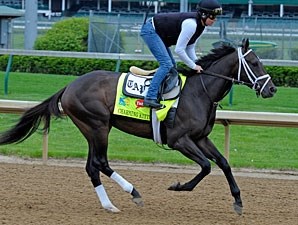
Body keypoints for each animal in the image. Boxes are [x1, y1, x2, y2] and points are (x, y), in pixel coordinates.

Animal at [0, 38, 278, 214]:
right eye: (254, 63)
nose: (272, 89)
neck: (200, 92)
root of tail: (69, 86)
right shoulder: (179, 140)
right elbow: (206, 166)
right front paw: (179, 186)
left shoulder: (200, 138)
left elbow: (223, 163)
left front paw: (238, 201)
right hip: (97, 126)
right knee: (101, 162)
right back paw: (133, 192)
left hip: (93, 129)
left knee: (92, 166)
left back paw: (109, 205)